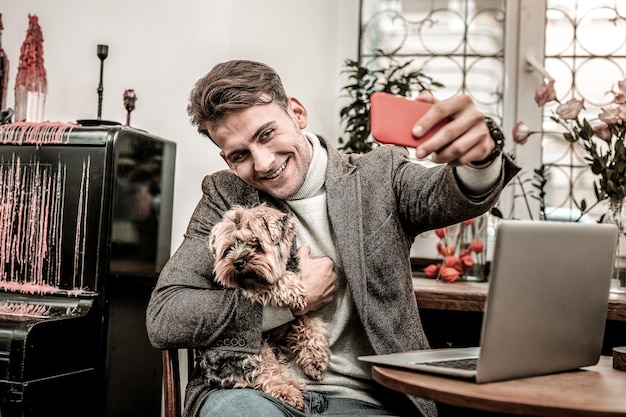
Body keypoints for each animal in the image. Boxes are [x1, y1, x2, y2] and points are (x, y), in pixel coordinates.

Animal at [197, 203, 330, 408]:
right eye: (228, 249)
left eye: (256, 243)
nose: (237, 263)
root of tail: (213, 376)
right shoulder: (249, 288)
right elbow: (271, 284)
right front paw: (292, 288)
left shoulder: (305, 311)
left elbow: (309, 326)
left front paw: (315, 360)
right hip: (250, 351)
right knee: (265, 375)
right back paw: (287, 392)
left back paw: (293, 384)